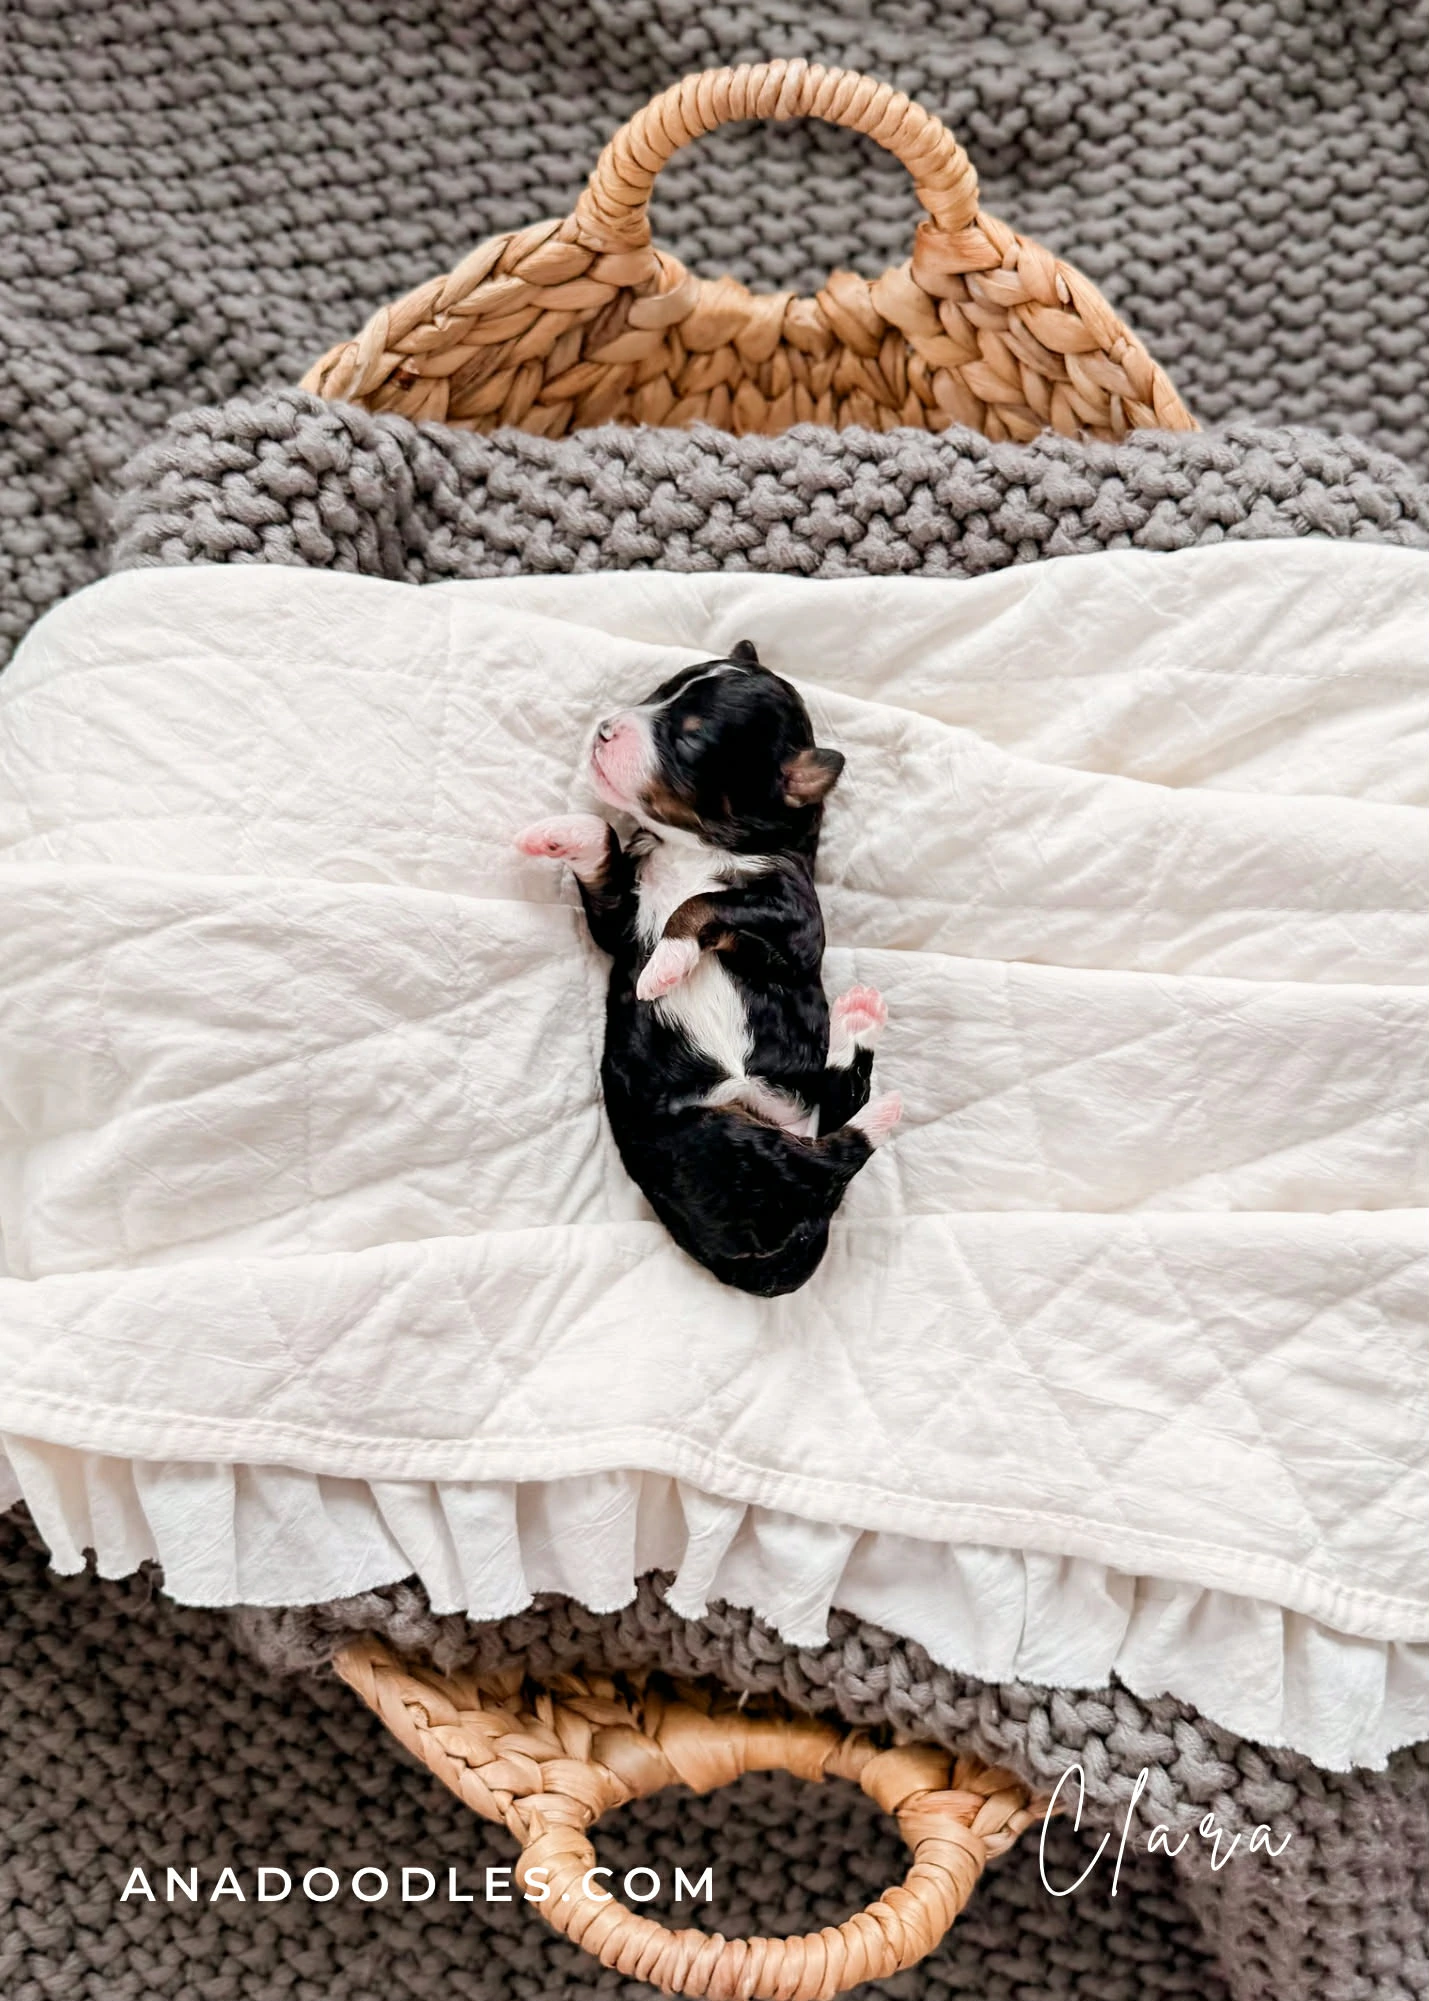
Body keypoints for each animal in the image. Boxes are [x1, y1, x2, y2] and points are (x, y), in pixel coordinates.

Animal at [516, 639, 900, 1296]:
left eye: (691, 740)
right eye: (656, 693)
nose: (605, 729)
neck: (693, 849)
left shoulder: (796, 919)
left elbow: (700, 905)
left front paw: (667, 965)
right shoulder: (623, 922)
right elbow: (604, 839)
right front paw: (557, 833)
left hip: (724, 1140)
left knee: (836, 1157)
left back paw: (882, 1101)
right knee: (835, 1119)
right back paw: (858, 1021)